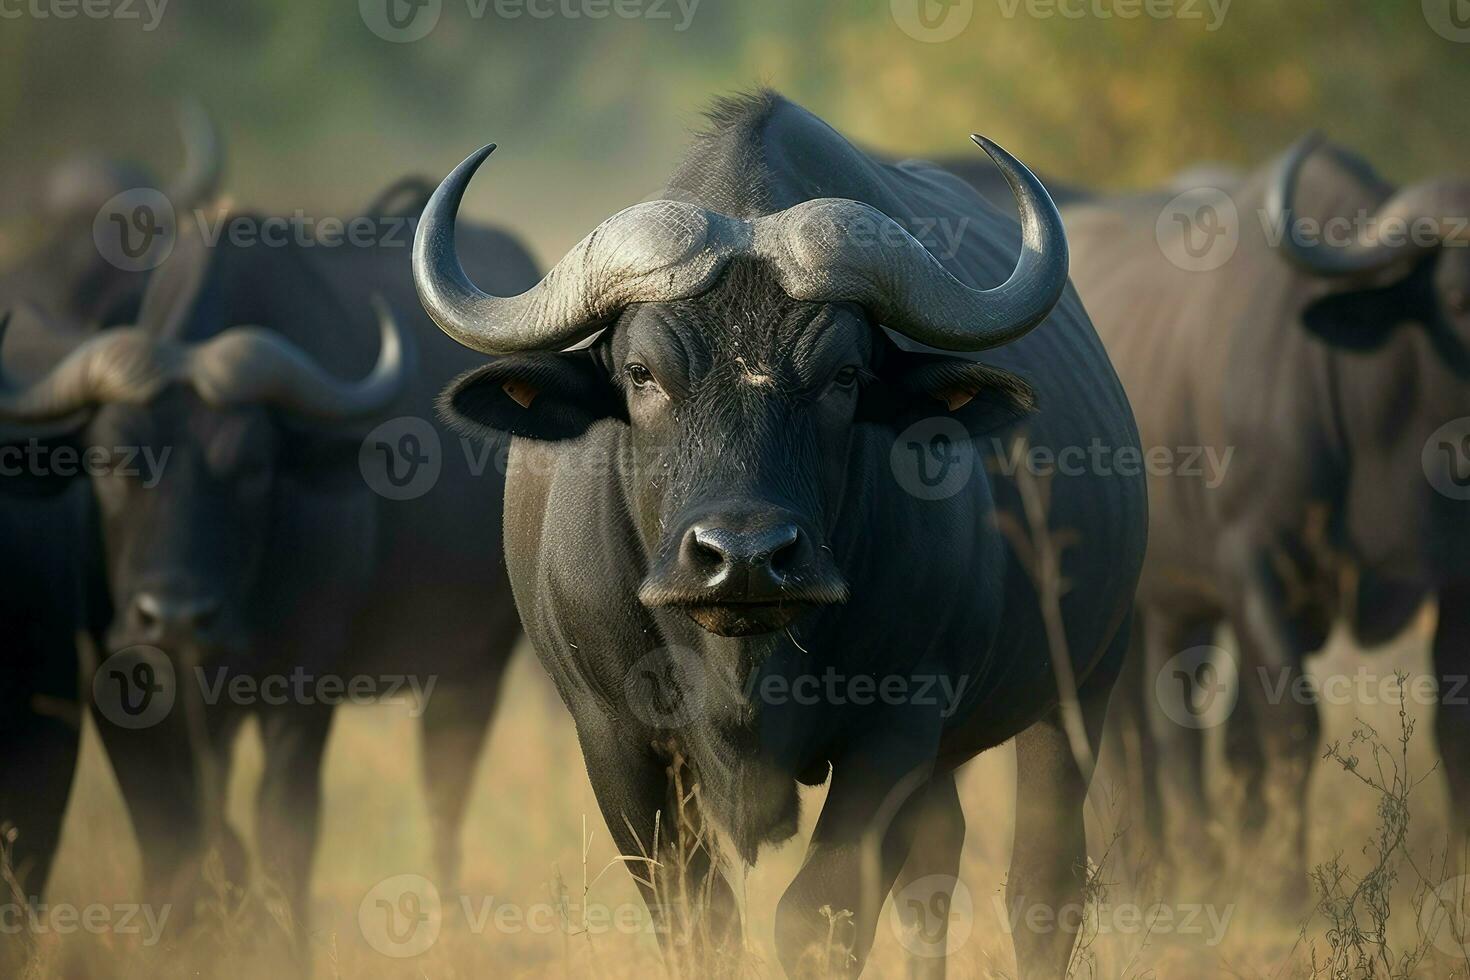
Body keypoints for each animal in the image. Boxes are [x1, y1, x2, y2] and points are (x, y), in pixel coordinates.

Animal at [0, 183, 540, 940]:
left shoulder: (304, 684)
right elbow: (173, 834)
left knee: (445, 795)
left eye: (253, 466)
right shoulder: (120, 688)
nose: (175, 617)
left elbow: (284, 830)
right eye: (107, 462)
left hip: (475, 667)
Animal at [414, 89, 1146, 975]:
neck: (743, 667)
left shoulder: (895, 727)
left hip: (1083, 682)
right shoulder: (613, 736)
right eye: (641, 373)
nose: (744, 558)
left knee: (1043, 882)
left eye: (844, 375)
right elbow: (700, 921)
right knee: (934, 876)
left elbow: (818, 917)